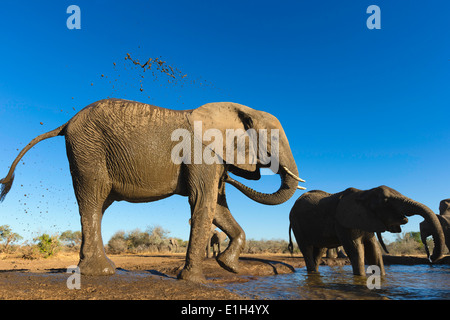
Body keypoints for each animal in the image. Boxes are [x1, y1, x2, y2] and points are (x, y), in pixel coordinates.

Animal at [0, 98, 304, 282]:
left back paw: (98, 270)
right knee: (93, 199)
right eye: (272, 141)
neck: (239, 110)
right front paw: (194, 281)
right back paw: (101, 271)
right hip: (88, 149)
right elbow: (203, 203)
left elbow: (217, 207)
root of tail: (66, 123)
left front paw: (229, 266)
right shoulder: (201, 153)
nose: (229, 178)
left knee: (98, 205)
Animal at [290, 186, 444, 276]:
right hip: (296, 223)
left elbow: (374, 249)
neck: (364, 193)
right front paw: (361, 278)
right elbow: (356, 250)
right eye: (386, 201)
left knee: (318, 251)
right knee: (307, 249)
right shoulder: (343, 222)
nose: (431, 258)